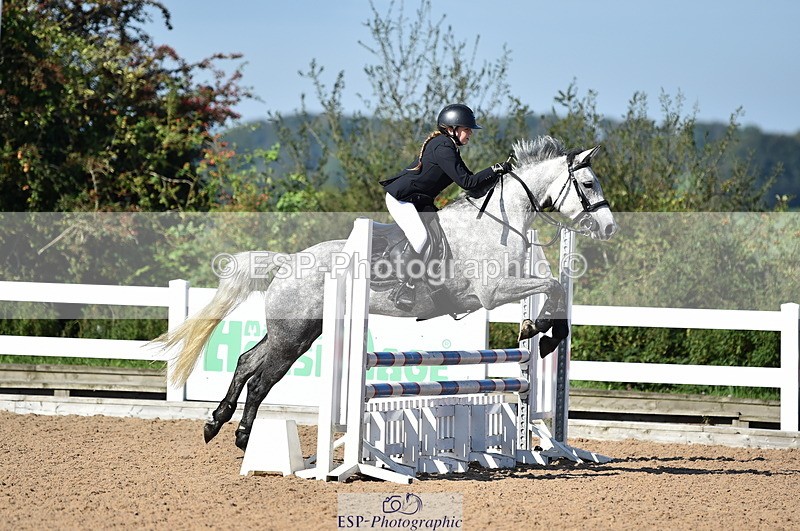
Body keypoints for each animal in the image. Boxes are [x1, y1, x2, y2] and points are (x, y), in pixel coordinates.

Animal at [157, 135, 617, 450]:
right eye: (588, 183)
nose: (609, 227)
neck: (500, 222)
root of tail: (287, 262)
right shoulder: (493, 292)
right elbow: (551, 286)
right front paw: (539, 332)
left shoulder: (512, 284)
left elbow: (552, 288)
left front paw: (542, 333)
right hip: (294, 337)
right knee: (261, 380)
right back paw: (239, 435)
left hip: (297, 331)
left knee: (246, 362)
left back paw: (215, 422)